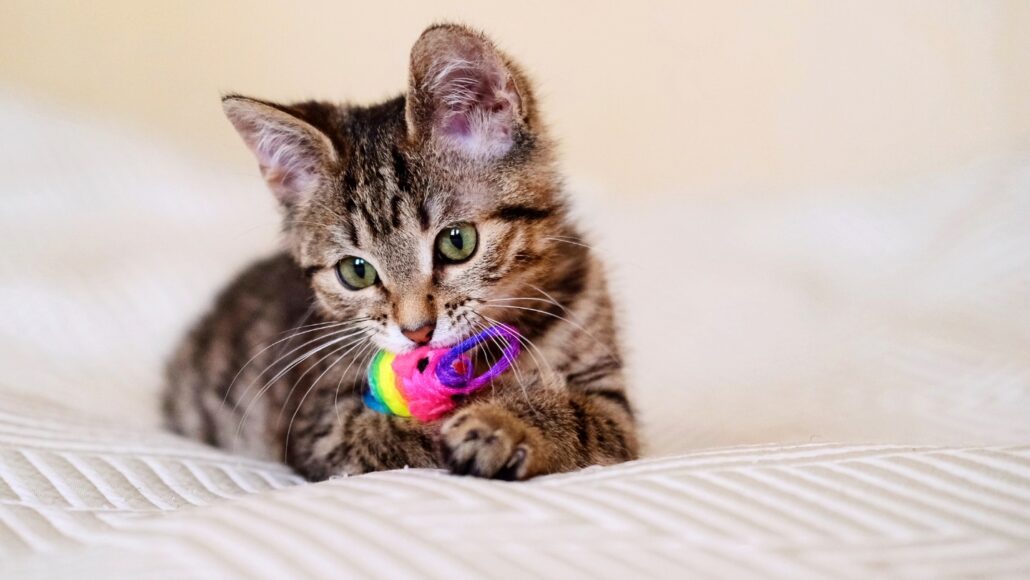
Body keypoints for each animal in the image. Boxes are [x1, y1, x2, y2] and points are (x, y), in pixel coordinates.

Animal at [162, 22, 634, 482]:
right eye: (356, 271)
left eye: (457, 241)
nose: (417, 332)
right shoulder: (322, 426)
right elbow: (392, 429)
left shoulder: (614, 409)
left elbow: (578, 414)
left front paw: (502, 422)